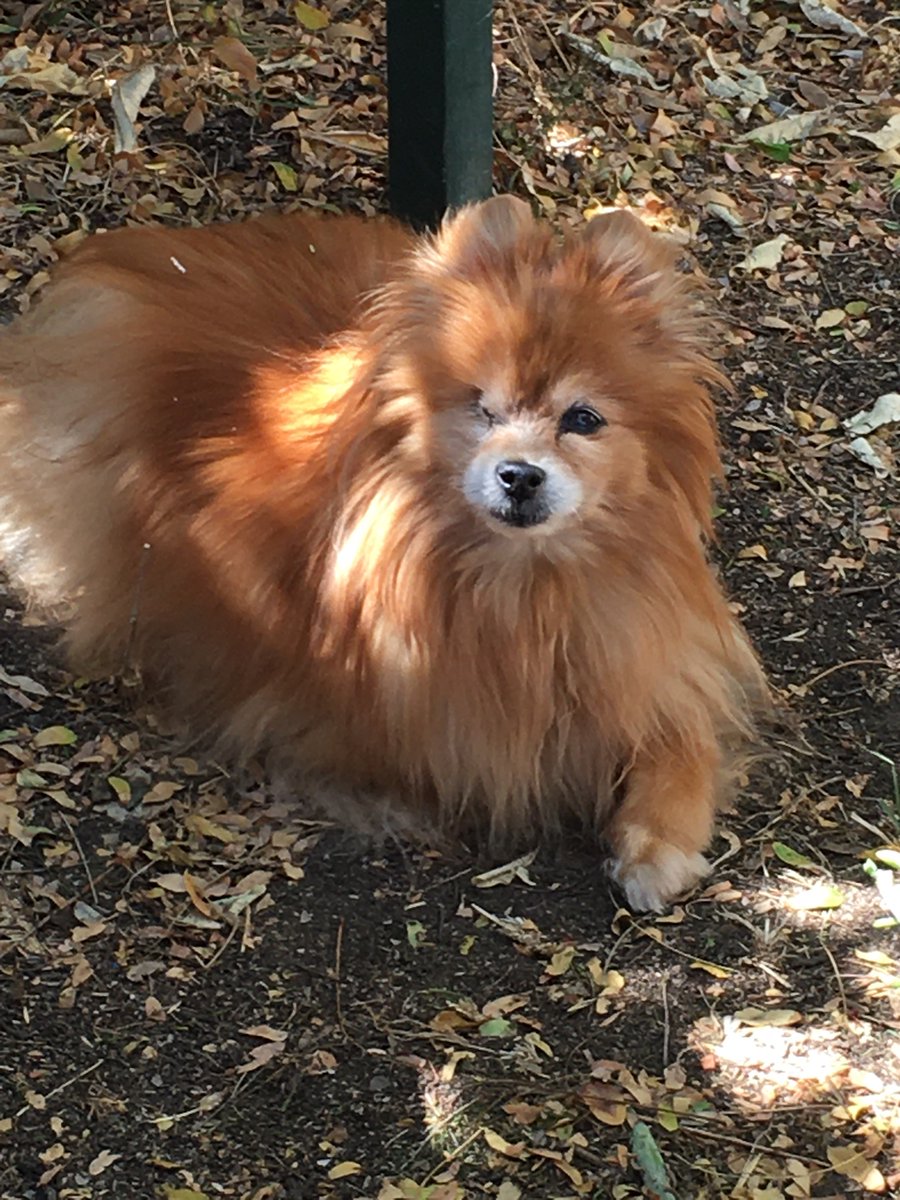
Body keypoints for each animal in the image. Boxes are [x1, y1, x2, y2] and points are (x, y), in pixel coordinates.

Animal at [0, 196, 768, 907]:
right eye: (481, 409)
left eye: (582, 419)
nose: (519, 474)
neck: (523, 585)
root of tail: (155, 249)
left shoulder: (651, 659)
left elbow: (679, 736)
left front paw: (659, 841)